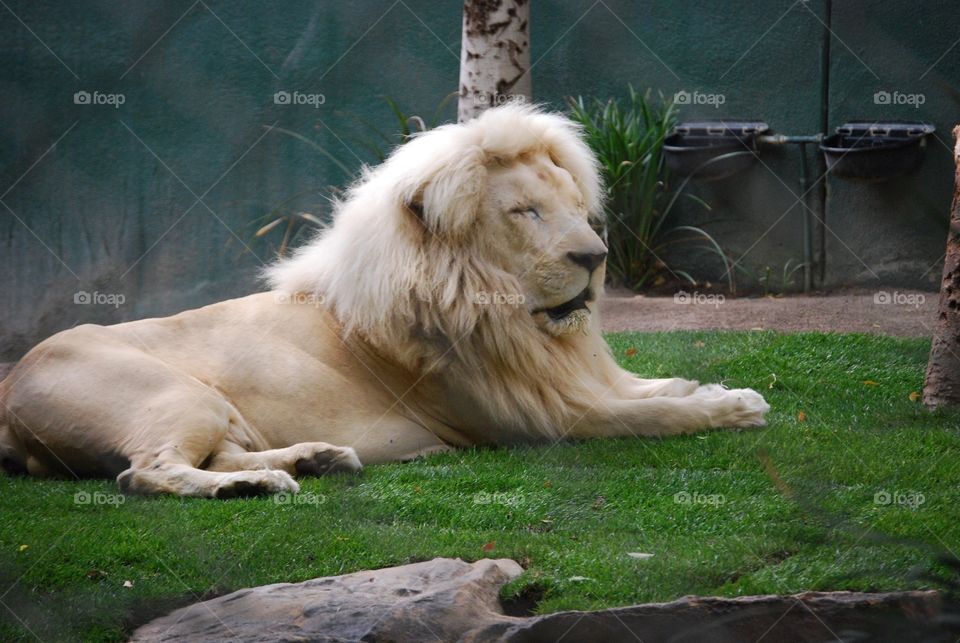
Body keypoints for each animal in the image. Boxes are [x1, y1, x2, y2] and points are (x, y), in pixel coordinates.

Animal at [0, 104, 769, 498]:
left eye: (577, 209)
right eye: (525, 212)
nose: (595, 257)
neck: (509, 318)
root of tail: (9, 392)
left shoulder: (569, 379)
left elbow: (649, 384)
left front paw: (704, 385)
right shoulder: (540, 419)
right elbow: (654, 414)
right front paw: (732, 406)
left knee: (210, 456)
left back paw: (314, 461)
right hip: (177, 396)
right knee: (144, 472)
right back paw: (255, 487)